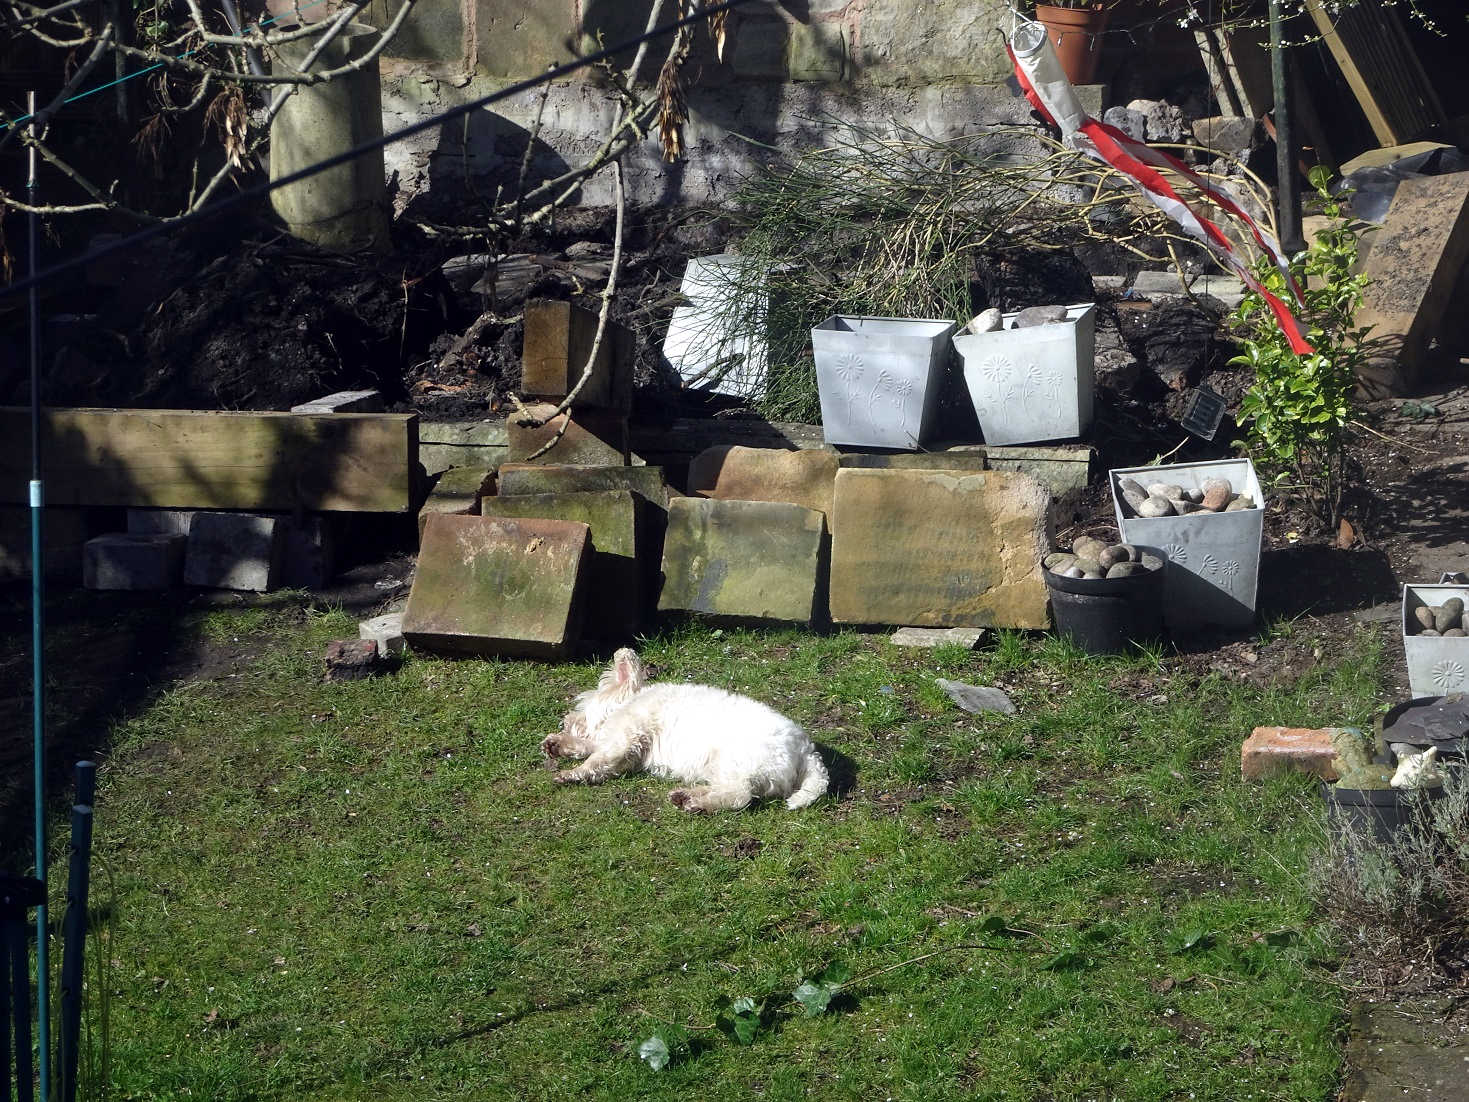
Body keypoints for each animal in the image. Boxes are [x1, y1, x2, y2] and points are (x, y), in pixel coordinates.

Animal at [546, 646, 834, 811]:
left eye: (583, 708)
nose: (566, 720)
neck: (633, 699)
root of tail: (806, 751)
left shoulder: (626, 738)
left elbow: (597, 761)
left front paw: (571, 773)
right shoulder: (628, 750)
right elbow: (595, 751)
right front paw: (558, 744)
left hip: (734, 763)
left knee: (738, 796)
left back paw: (691, 800)